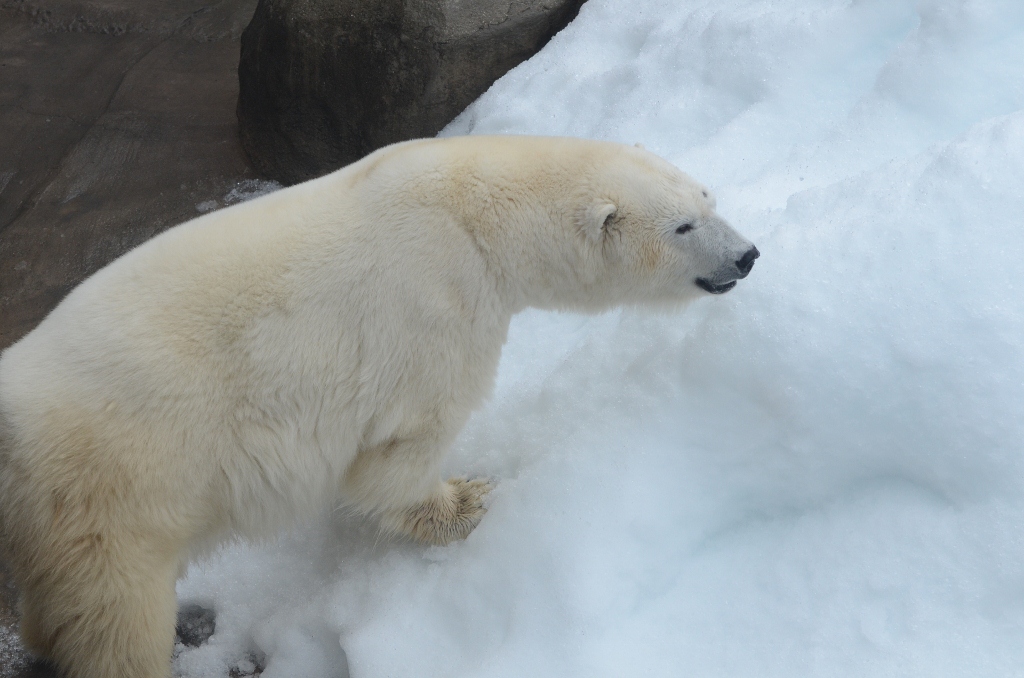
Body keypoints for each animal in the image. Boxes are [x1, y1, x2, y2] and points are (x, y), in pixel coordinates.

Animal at [0, 135, 753, 675]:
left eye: (709, 195)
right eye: (685, 226)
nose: (746, 255)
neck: (470, 207)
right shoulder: (435, 305)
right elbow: (400, 449)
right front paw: (466, 503)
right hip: (106, 494)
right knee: (114, 618)